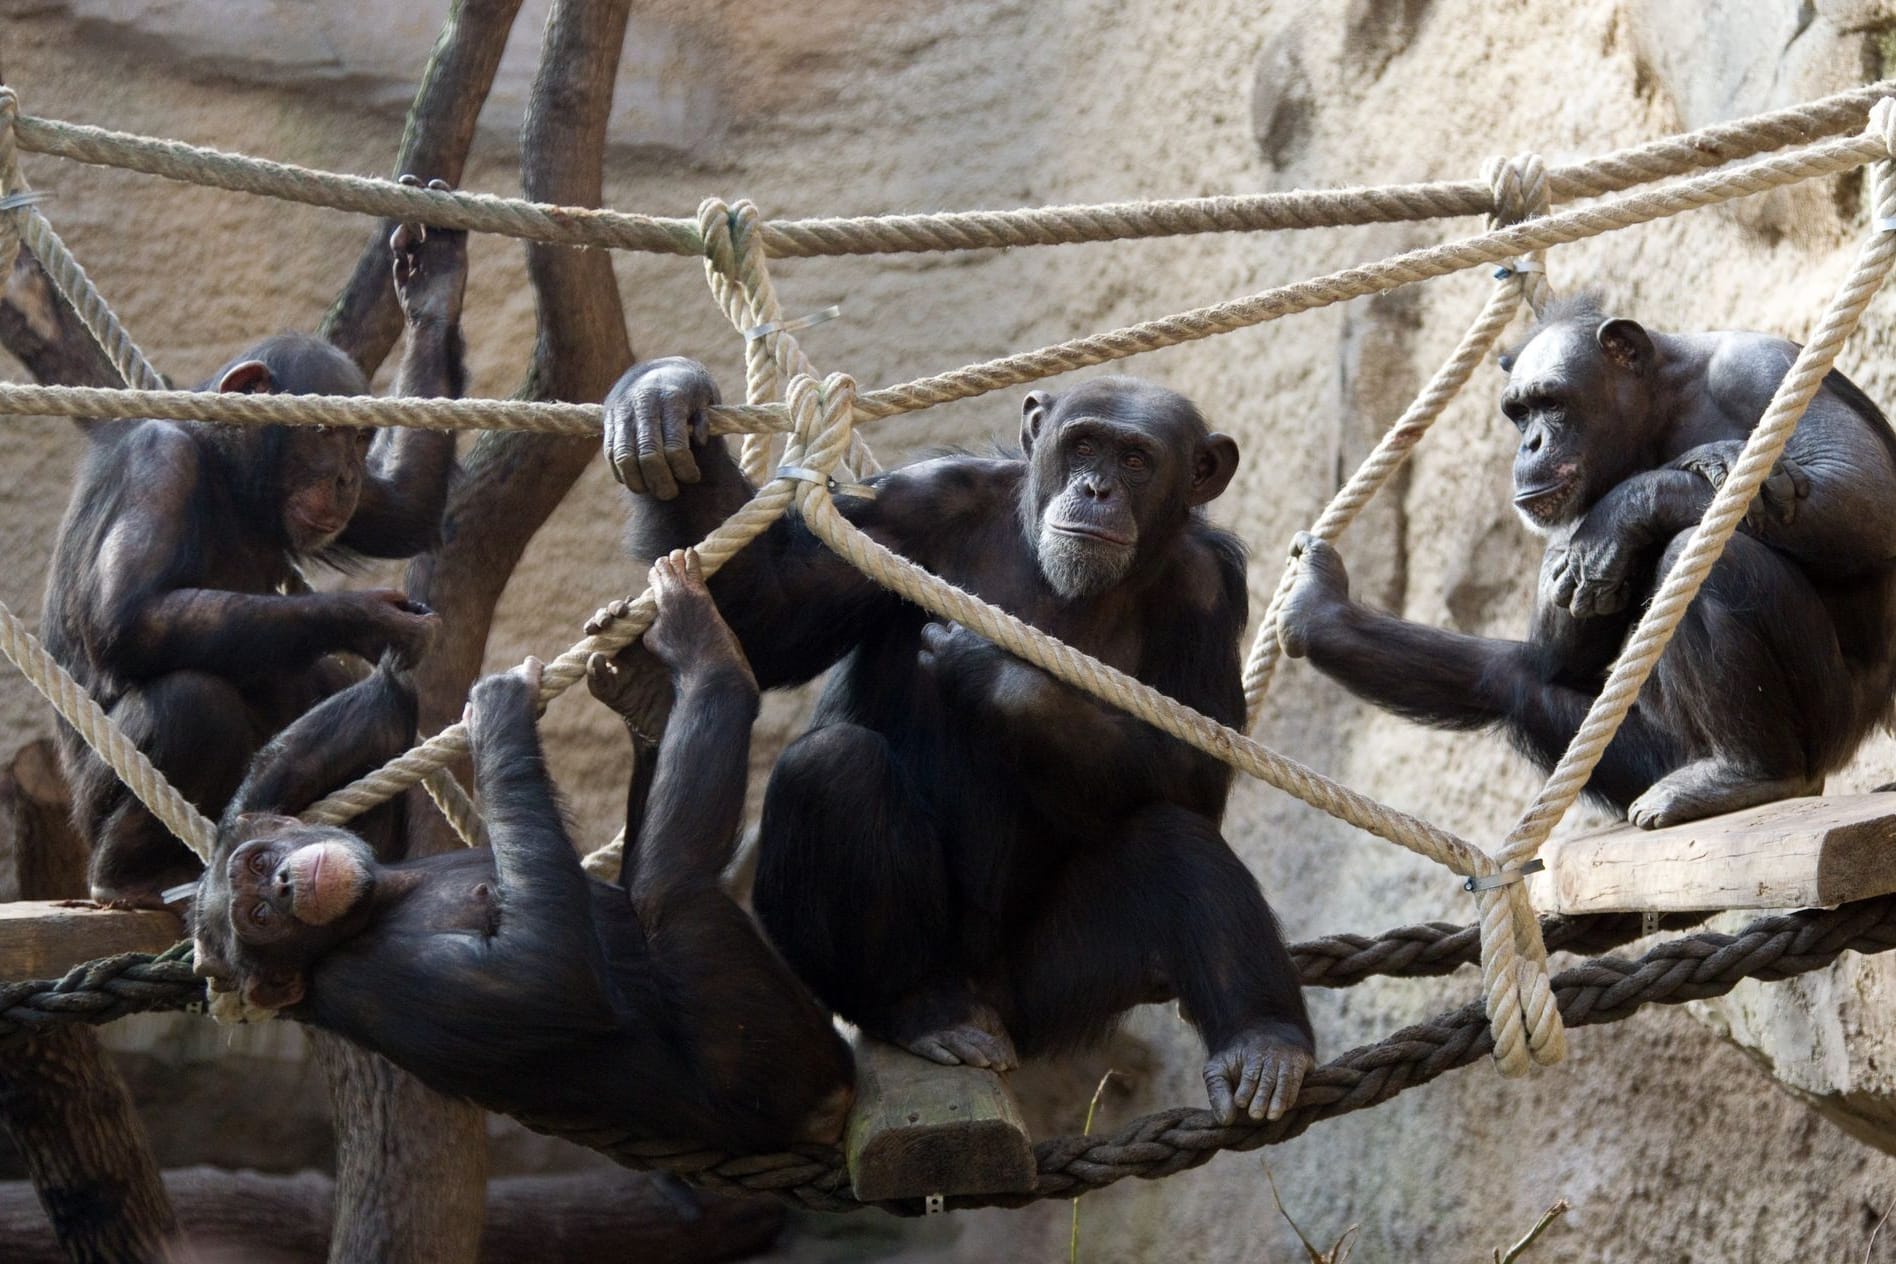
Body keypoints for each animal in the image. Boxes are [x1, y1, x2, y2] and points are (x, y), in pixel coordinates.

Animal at [45, 178, 466, 909]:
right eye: (324, 430)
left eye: (361, 436)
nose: (345, 475)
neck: (227, 467)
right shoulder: (160, 464)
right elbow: (130, 617)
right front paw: (372, 618)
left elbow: (405, 509)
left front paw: (434, 283)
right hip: (93, 807)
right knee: (192, 700)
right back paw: (131, 874)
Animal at [188, 553, 856, 1159]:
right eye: (259, 920)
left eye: (256, 867)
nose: (278, 885)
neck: (385, 897)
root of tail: (829, 1110)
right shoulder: (371, 982)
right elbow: (545, 977)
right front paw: (497, 708)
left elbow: (354, 734)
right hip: (762, 1058)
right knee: (668, 890)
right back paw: (705, 646)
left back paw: (646, 689)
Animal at [1274, 297, 1896, 830]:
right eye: (1517, 412)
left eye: (1550, 401)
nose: (1529, 444)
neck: (1662, 406)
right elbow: (1561, 654)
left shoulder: (1759, 367)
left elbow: (1859, 489)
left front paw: (1631, 508)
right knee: (1518, 678)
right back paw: (1321, 613)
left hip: (1828, 721)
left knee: (1703, 557)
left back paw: (1751, 773)